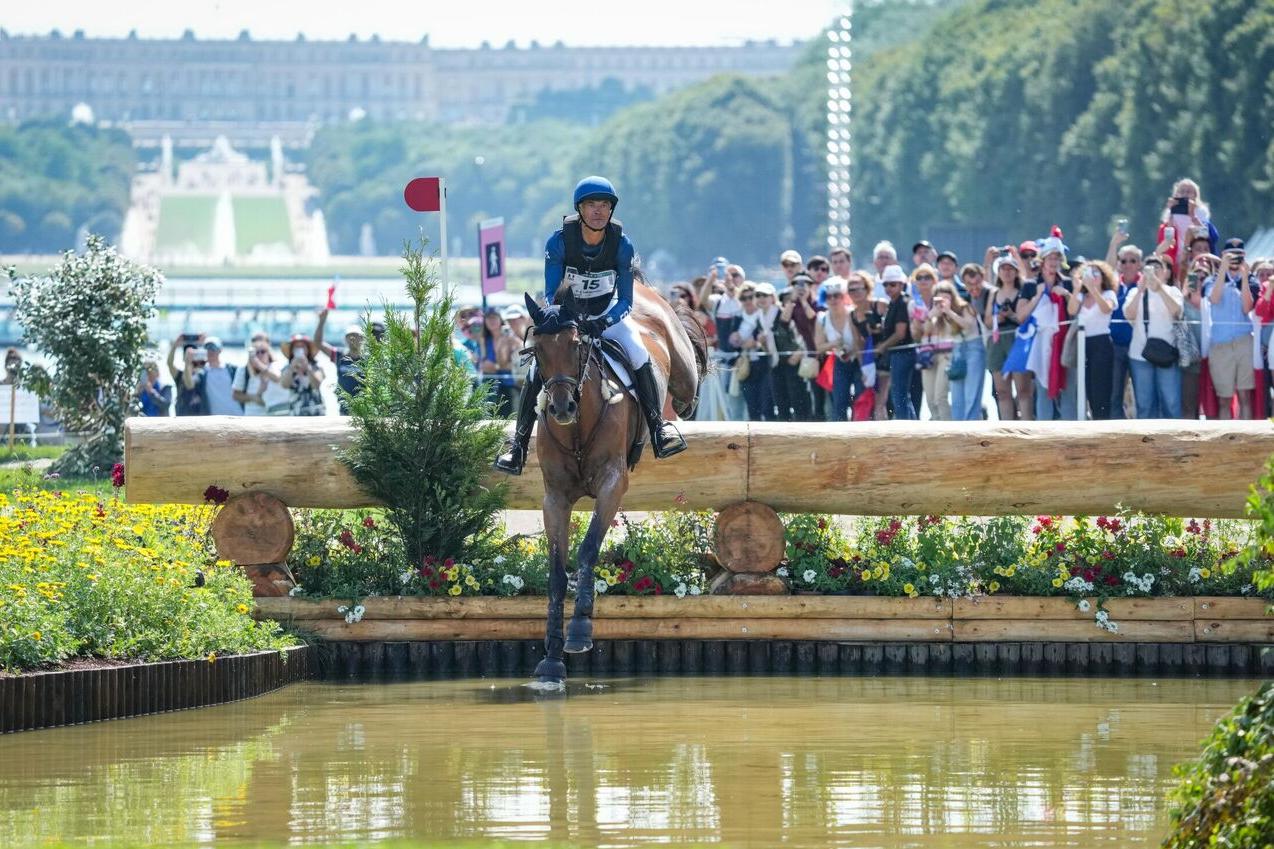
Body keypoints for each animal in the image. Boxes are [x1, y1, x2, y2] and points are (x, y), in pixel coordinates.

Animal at [522, 274, 713, 683]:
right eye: (538, 351)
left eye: (577, 345)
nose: (561, 408)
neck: (577, 429)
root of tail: (639, 287)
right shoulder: (555, 497)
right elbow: (557, 570)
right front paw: (551, 658)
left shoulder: (613, 484)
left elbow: (588, 549)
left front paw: (579, 632)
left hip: (682, 371)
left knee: (689, 385)